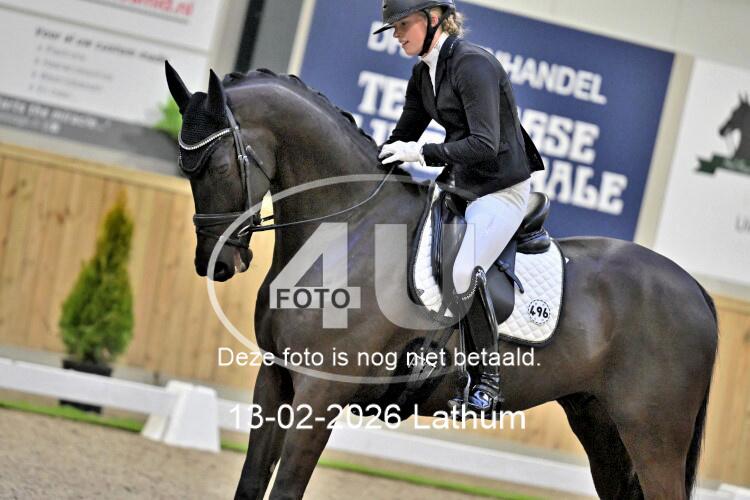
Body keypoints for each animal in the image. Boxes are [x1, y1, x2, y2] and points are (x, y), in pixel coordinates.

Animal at [165, 62, 718, 500]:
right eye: (184, 167)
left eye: (215, 164)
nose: (216, 263)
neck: (350, 228)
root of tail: (696, 290)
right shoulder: (276, 379)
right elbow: (251, 484)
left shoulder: (319, 394)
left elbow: (284, 489)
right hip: (601, 425)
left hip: (653, 436)